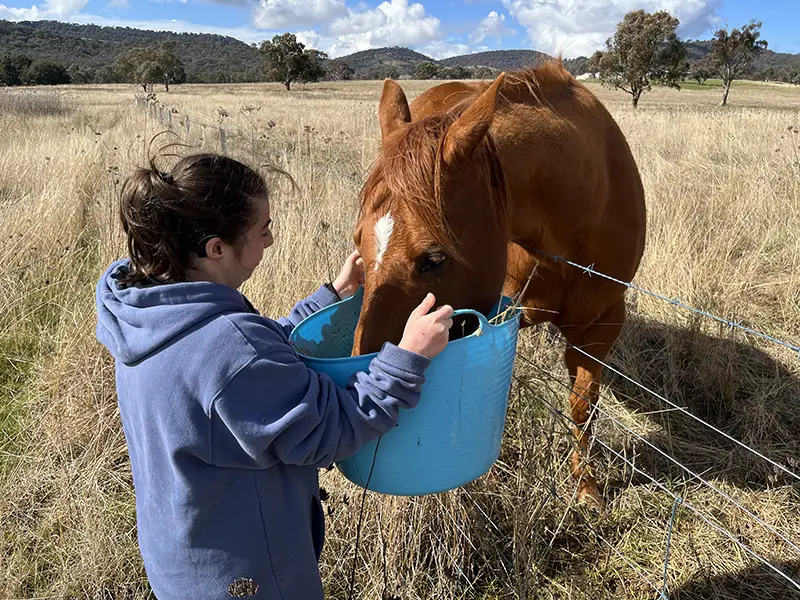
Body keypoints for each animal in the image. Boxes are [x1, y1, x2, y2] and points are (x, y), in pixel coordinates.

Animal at [351, 60, 646, 507]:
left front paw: (586, 486)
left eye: (434, 258)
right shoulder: (501, 315)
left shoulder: (604, 323)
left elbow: (583, 406)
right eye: (358, 242)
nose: (357, 376)